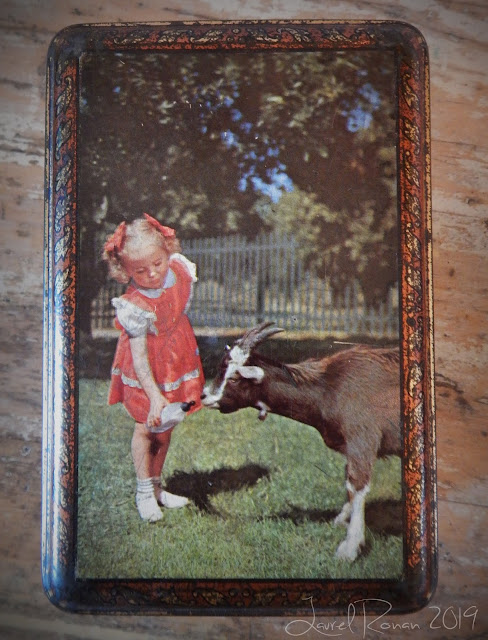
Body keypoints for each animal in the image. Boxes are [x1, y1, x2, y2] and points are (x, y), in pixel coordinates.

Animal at [201, 322, 401, 561]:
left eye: (233, 378)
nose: (204, 396)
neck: (328, 386)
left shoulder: (362, 437)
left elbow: (356, 484)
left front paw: (349, 547)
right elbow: (348, 481)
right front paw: (341, 520)